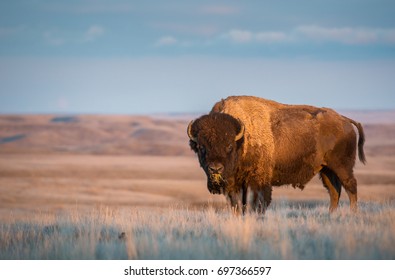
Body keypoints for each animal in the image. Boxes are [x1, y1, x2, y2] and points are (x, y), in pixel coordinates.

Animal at [187, 95, 366, 213]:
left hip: (342, 166)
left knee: (351, 186)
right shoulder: (235, 184)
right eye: (201, 147)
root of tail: (345, 120)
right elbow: (237, 204)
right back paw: (331, 214)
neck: (242, 139)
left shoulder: (258, 181)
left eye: (229, 146)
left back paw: (352, 214)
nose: (215, 169)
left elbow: (257, 202)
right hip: (326, 169)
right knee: (334, 191)